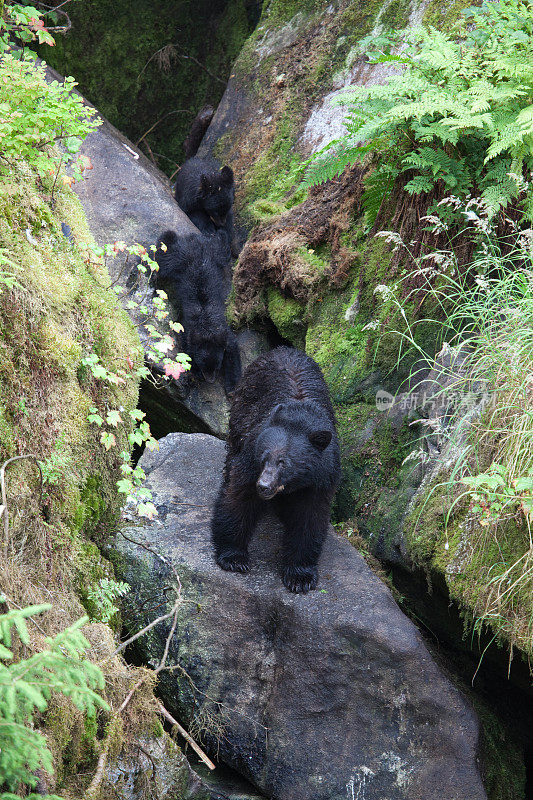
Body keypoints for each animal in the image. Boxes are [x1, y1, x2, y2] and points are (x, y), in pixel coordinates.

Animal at [155, 228, 240, 394]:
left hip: (214, 253)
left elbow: (233, 350)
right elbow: (186, 350)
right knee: (165, 255)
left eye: (217, 366)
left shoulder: (222, 332)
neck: (206, 325)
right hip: (180, 259)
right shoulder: (188, 330)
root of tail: (195, 240)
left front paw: (232, 387)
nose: (211, 380)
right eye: (204, 366)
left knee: (222, 242)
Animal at [210, 350, 338, 592]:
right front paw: (234, 557)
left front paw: (300, 576)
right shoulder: (251, 455)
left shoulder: (321, 478)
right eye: (264, 457)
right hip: (242, 410)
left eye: (284, 463)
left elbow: (310, 518)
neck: (301, 417)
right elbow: (239, 498)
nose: (264, 486)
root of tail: (281, 349)